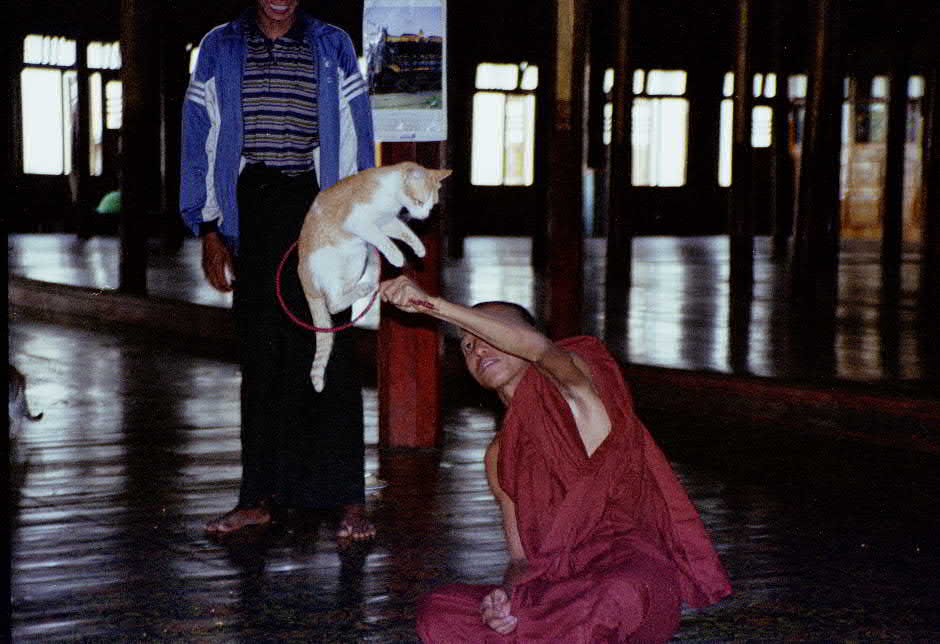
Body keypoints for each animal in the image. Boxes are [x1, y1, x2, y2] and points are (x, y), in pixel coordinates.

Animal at [298, 164, 452, 390]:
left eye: (431, 206)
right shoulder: (360, 222)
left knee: (340, 300)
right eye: (419, 202)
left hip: (356, 258)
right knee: (333, 304)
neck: (390, 192)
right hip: (331, 265)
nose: (424, 216)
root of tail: (305, 281)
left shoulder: (386, 222)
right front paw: (396, 256)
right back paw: (365, 288)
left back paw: (367, 287)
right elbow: (383, 240)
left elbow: (404, 232)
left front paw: (418, 247)